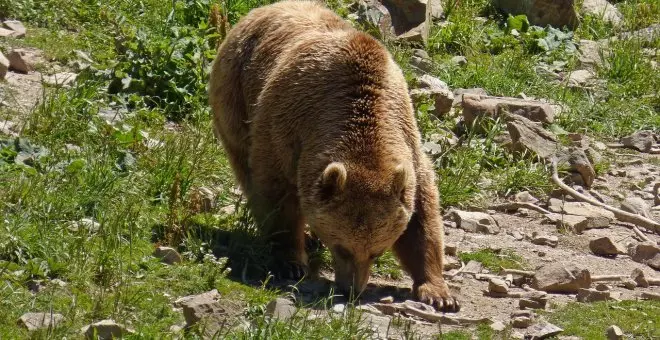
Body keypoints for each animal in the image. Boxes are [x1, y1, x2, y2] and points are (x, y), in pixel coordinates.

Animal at [209, 0, 456, 312]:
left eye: (376, 252)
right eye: (342, 247)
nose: (352, 290)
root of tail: (265, 8)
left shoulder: (409, 147)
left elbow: (422, 215)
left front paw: (438, 292)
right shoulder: (284, 130)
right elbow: (276, 193)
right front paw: (290, 261)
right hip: (236, 90)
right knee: (244, 164)